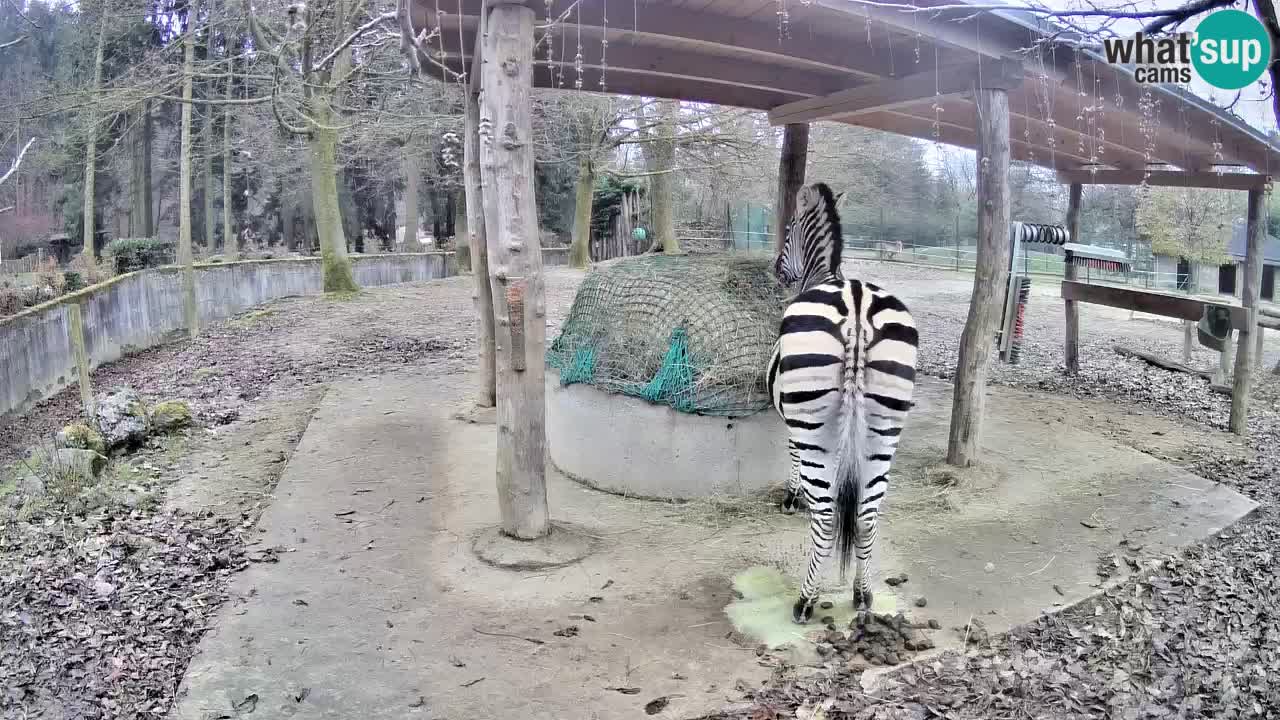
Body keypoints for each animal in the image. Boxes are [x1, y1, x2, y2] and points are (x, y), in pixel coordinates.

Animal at [762, 180, 916, 622]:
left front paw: (792, 497)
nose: (777, 271)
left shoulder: (791, 417)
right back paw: (862, 594)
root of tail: (857, 303)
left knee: (829, 515)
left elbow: (792, 456)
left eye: (789, 228)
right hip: (884, 429)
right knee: (866, 514)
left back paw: (805, 600)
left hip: (817, 424)